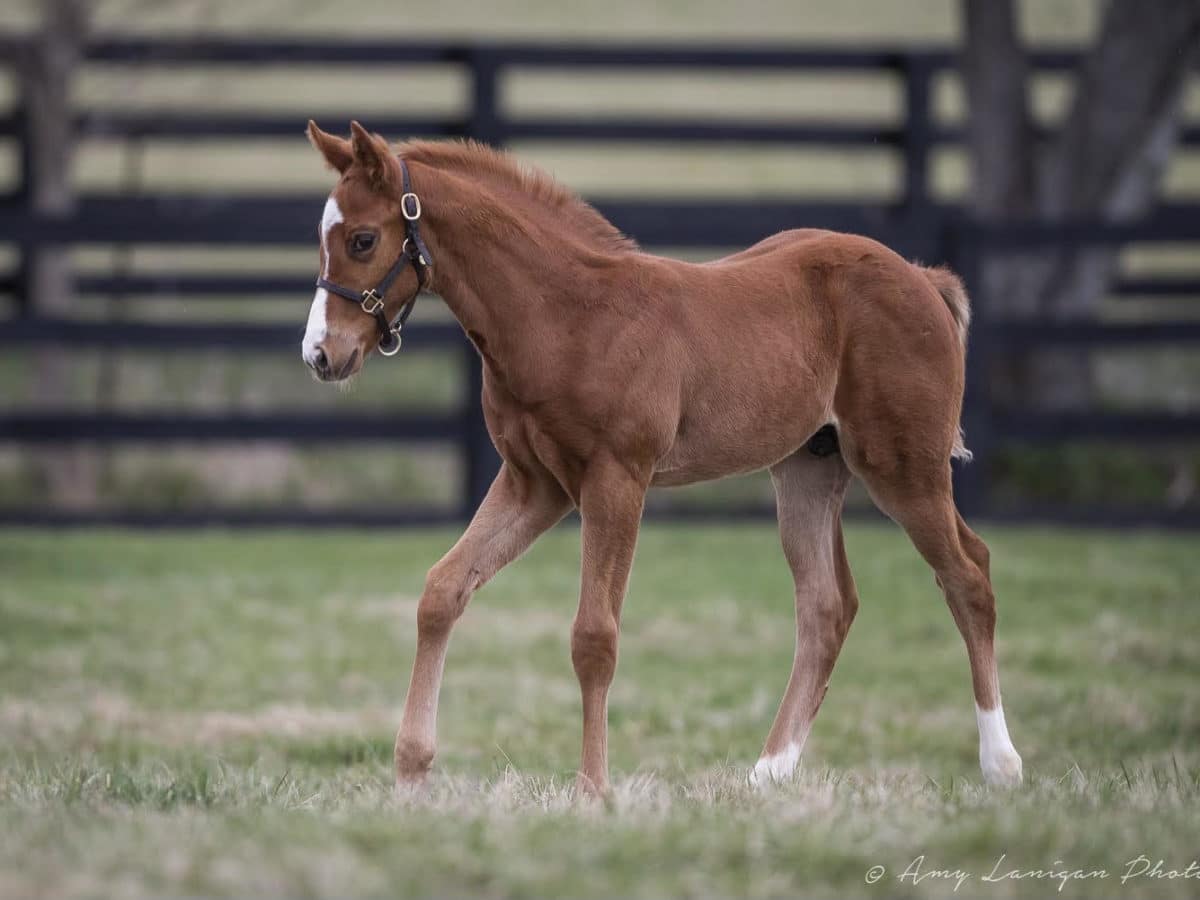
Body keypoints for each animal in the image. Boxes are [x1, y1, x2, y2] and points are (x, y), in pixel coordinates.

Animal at [302, 121, 1022, 796]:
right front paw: (410, 772)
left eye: (362, 239)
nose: (320, 355)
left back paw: (1001, 766)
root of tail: (921, 277)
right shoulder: (535, 483)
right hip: (808, 465)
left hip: (903, 464)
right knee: (827, 605)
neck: (568, 317)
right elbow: (442, 590)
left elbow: (594, 637)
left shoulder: (618, 477)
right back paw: (766, 775)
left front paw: (593, 791)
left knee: (969, 573)